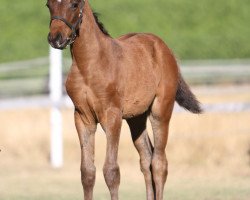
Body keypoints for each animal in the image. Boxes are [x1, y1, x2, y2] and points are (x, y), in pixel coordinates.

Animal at [47, 0, 203, 199]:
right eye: (48, 5)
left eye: (74, 4)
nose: (56, 38)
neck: (89, 65)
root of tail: (165, 49)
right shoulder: (83, 117)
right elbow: (87, 172)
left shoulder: (112, 116)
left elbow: (111, 171)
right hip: (136, 118)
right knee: (146, 159)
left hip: (160, 111)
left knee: (159, 163)